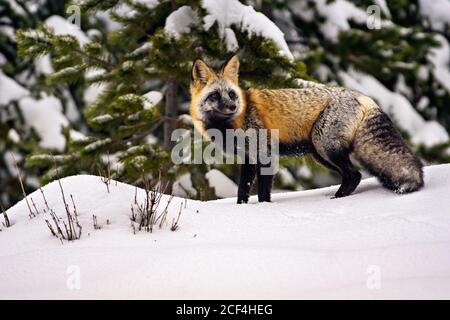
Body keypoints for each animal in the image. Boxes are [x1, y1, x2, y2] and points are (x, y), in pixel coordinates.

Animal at [190, 55, 426, 204]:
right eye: (215, 95)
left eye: (231, 94)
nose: (233, 106)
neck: (231, 125)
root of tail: (365, 97)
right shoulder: (247, 158)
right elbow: (243, 191)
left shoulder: (265, 154)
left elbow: (264, 192)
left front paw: (264, 209)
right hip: (320, 154)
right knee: (353, 176)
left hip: (324, 147)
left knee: (354, 175)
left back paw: (336, 200)